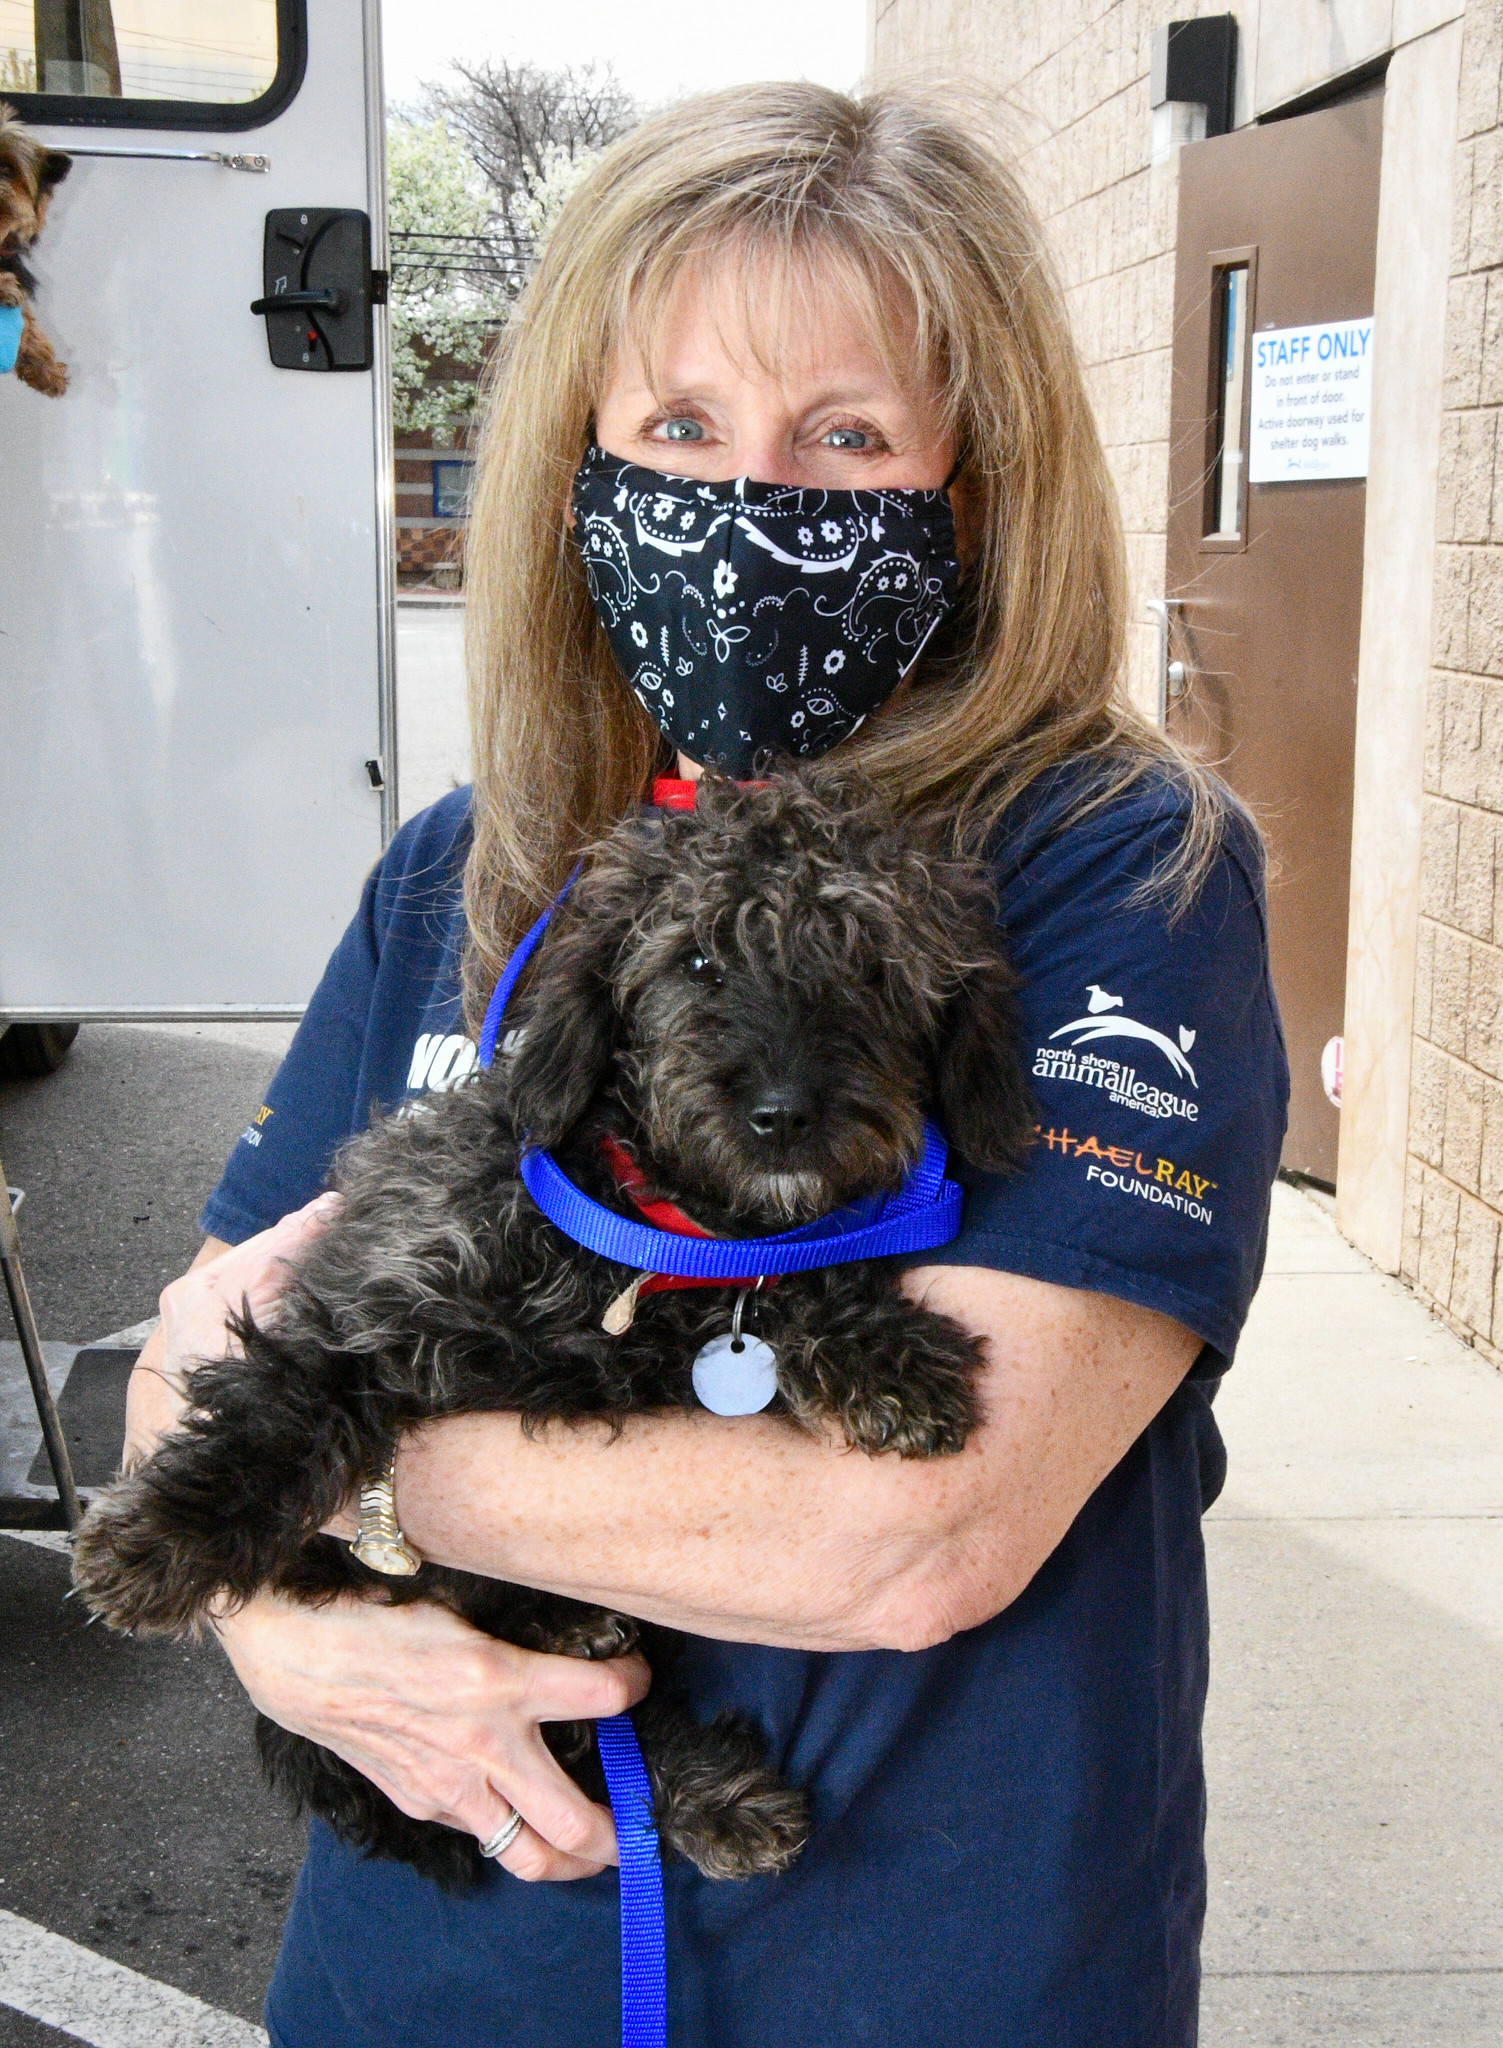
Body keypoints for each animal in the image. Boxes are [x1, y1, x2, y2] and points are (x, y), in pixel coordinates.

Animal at [70, 770, 1036, 1884]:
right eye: (696, 959)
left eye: (873, 966)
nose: (784, 1114)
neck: (644, 1239)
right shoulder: (373, 1297)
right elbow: (289, 1404)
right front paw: (161, 1534)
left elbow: (794, 1278)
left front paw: (887, 1356)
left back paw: (702, 1781)